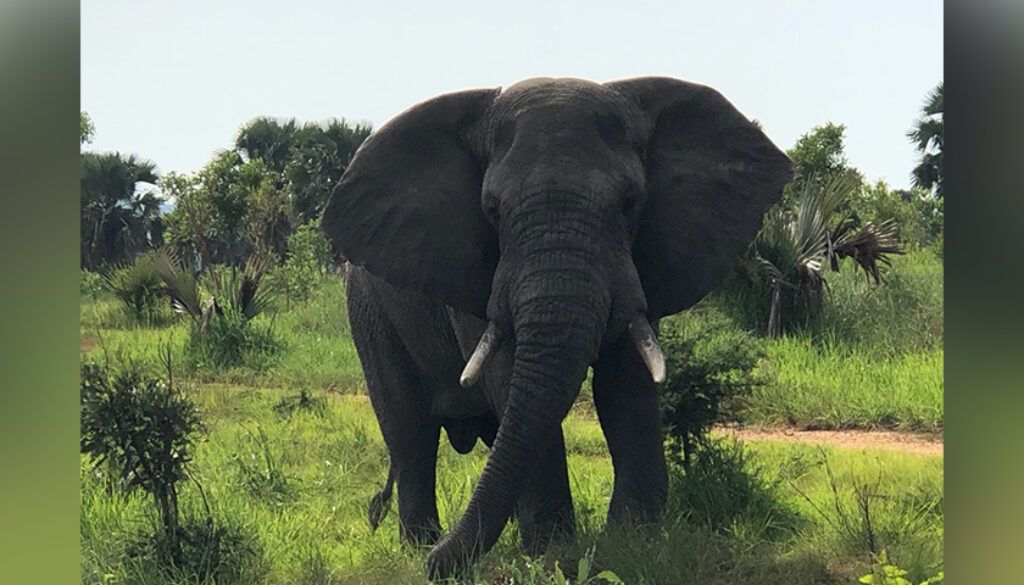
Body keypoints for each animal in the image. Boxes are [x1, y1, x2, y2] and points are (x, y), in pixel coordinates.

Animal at [320, 76, 793, 579]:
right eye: (492, 210)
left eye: (630, 203)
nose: (438, 567)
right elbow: (507, 374)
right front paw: (553, 555)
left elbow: (626, 385)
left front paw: (630, 546)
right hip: (368, 312)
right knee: (410, 434)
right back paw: (419, 545)